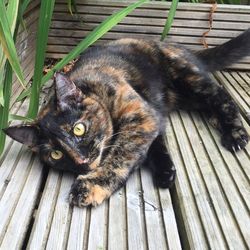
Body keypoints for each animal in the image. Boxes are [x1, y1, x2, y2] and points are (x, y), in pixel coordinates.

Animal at [4, 28, 250, 207]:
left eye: (78, 129)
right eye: (55, 154)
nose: (82, 162)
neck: (93, 88)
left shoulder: (139, 114)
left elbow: (121, 155)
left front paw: (92, 186)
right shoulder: (150, 117)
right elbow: (155, 141)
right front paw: (165, 171)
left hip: (188, 78)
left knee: (220, 95)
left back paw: (235, 133)